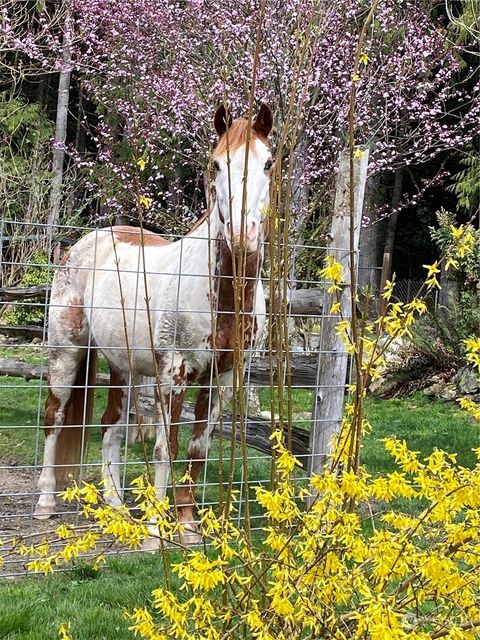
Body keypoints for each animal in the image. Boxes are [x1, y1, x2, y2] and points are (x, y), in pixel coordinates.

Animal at [33, 102, 274, 548]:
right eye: (216, 164)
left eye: (267, 163)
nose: (240, 235)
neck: (222, 295)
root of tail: (79, 246)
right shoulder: (173, 372)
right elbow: (167, 448)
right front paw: (154, 532)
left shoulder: (222, 379)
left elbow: (197, 448)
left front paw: (188, 525)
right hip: (66, 354)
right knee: (54, 419)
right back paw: (44, 502)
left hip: (122, 366)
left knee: (110, 427)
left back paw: (115, 508)